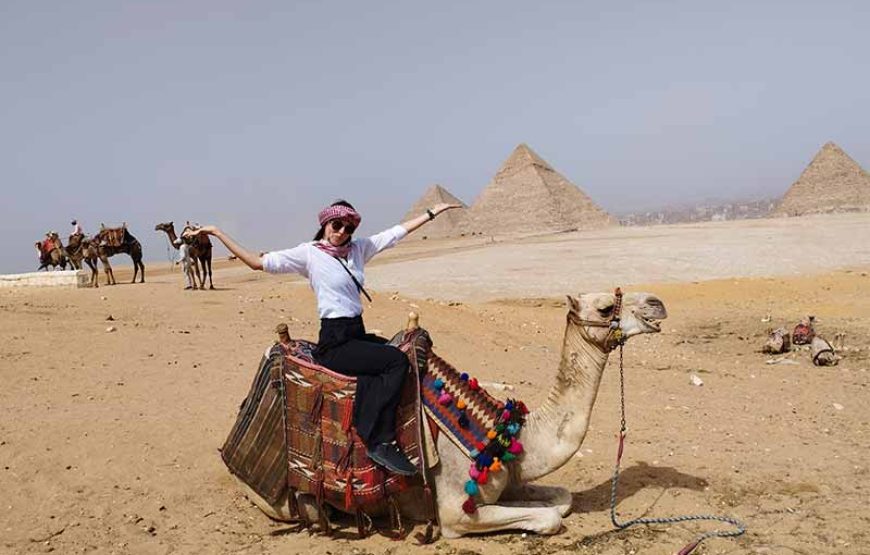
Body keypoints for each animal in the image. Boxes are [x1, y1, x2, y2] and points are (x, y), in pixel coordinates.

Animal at [237, 292, 668, 540]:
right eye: (606, 307)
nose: (656, 303)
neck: (510, 435)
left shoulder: (505, 482)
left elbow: (561, 500)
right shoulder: (453, 513)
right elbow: (549, 518)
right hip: (280, 498)